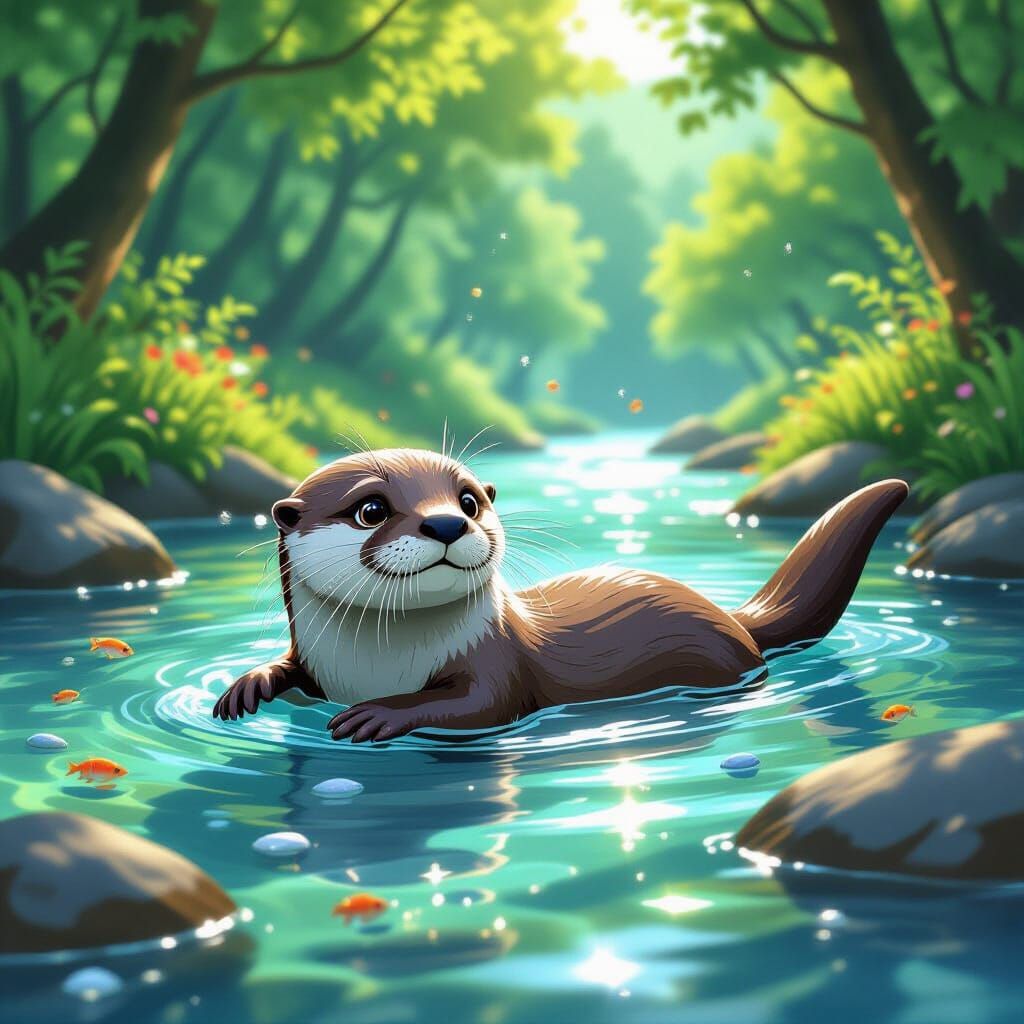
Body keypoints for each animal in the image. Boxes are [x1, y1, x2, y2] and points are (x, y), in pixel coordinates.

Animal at [212, 448, 908, 742]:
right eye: (370, 509)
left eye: (469, 499)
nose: (448, 523)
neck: (375, 662)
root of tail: (732, 616)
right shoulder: (318, 661)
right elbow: (288, 668)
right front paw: (245, 686)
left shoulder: (497, 662)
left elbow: (481, 705)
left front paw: (381, 714)